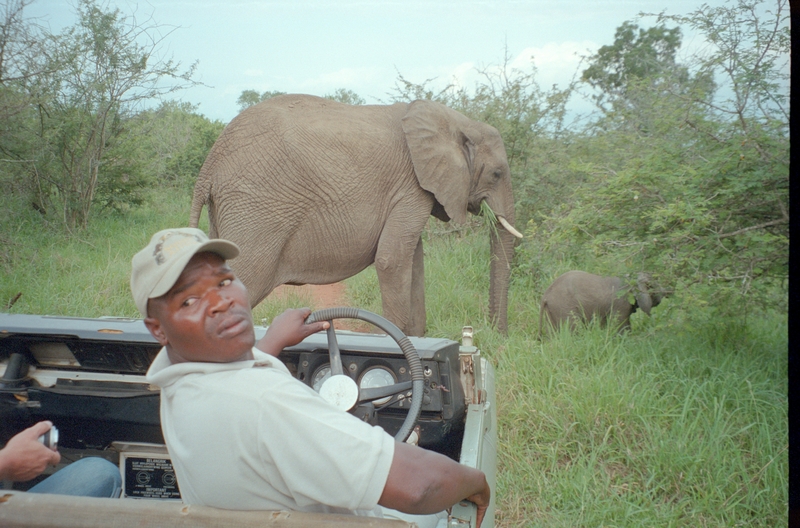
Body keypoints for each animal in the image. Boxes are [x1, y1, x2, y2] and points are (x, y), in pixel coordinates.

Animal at [190, 93, 520, 336]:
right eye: (496, 174)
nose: (497, 336)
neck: (454, 120)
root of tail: (210, 163)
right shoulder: (410, 185)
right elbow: (392, 260)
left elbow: (413, 260)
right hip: (256, 208)